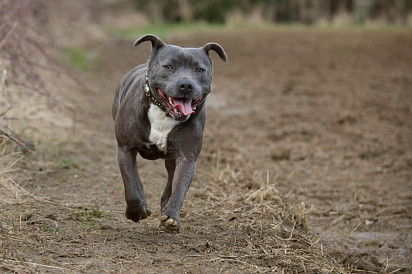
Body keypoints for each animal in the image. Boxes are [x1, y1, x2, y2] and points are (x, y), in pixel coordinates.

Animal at [111, 33, 227, 232]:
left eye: (200, 70)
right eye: (168, 66)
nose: (186, 84)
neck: (163, 112)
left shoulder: (187, 157)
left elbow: (179, 187)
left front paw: (172, 216)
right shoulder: (125, 147)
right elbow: (130, 185)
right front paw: (135, 212)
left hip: (171, 159)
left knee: (170, 181)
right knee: (135, 178)